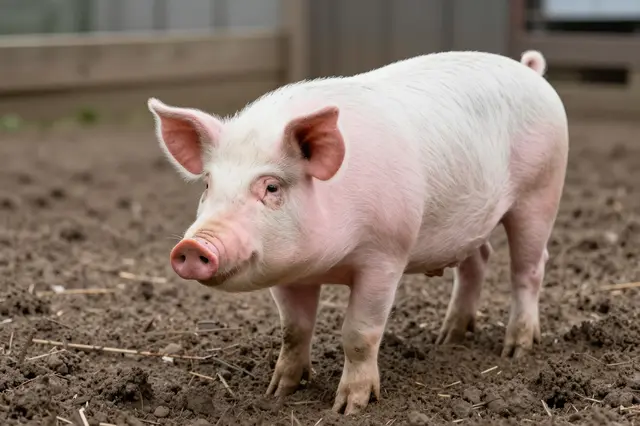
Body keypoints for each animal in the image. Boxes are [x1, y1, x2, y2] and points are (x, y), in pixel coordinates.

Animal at [147, 49, 568, 415]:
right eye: (207, 184)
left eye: (271, 187)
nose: (193, 245)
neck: (324, 265)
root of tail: (529, 69)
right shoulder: (287, 275)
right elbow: (293, 330)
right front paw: (277, 392)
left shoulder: (385, 256)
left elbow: (359, 333)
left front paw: (349, 407)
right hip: (470, 223)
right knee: (478, 260)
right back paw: (447, 337)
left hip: (541, 190)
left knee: (529, 268)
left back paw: (516, 350)